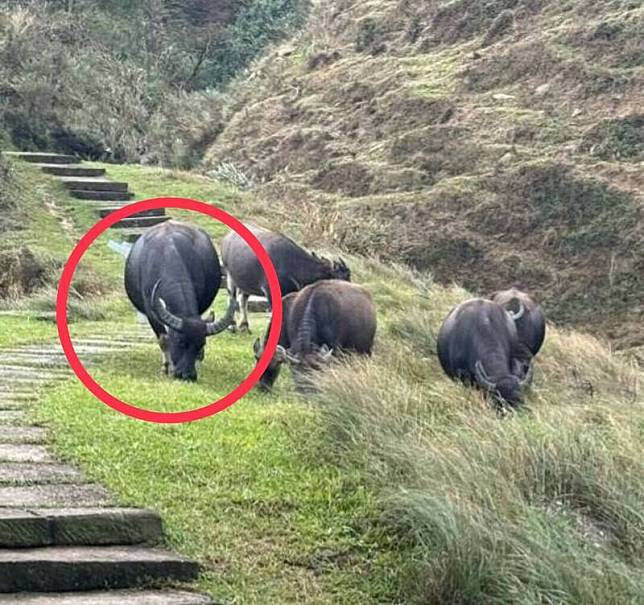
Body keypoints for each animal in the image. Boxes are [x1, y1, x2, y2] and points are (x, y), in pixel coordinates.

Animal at [124, 219, 235, 380]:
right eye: (180, 341)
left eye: (201, 344)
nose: (187, 375)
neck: (167, 255)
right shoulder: (151, 313)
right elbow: (164, 339)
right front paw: (167, 367)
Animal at [221, 224, 352, 332]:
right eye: (340, 278)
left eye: (348, 277)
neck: (290, 263)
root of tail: (227, 238)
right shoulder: (270, 292)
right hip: (230, 276)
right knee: (232, 298)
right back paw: (232, 325)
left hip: (246, 282)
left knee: (243, 300)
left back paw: (244, 325)